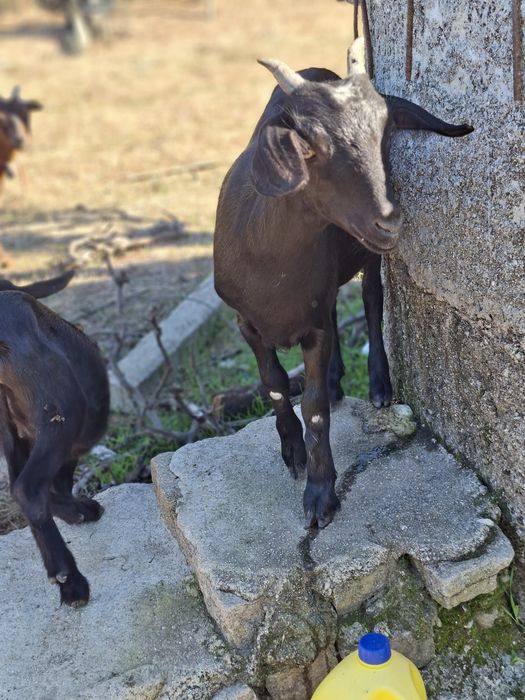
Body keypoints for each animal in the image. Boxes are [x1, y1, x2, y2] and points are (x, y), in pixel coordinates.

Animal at [0, 270, 109, 606]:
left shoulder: (13, 435)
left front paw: (76, 511)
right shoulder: (71, 441)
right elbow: (59, 482)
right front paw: (80, 510)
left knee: (19, 485)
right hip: (60, 414)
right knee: (29, 487)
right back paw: (71, 581)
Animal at [214, 39, 473, 529]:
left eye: (384, 130)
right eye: (309, 146)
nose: (389, 221)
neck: (272, 265)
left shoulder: (313, 326)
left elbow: (314, 408)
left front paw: (320, 495)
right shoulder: (245, 322)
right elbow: (275, 384)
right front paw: (292, 451)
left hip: (366, 255)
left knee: (371, 301)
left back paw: (378, 385)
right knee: (337, 306)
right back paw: (337, 383)